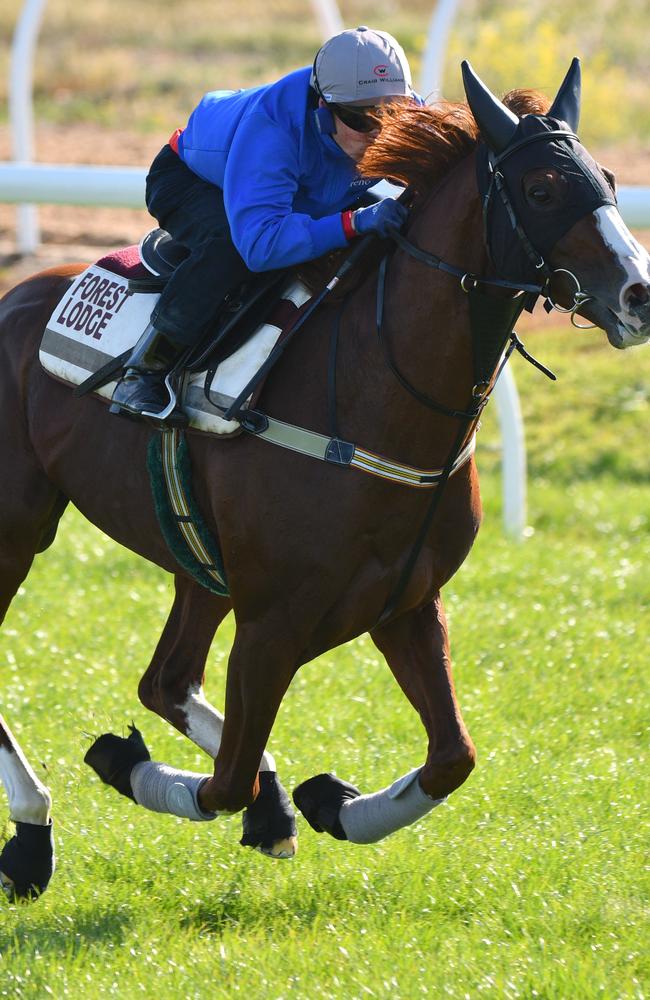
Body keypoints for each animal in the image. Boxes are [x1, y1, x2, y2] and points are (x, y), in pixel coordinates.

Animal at [1, 60, 648, 908]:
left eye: (607, 178)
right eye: (540, 189)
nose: (640, 294)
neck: (377, 395)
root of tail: (16, 293)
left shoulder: (405, 604)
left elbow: (453, 757)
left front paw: (327, 803)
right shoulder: (272, 624)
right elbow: (226, 781)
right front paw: (125, 763)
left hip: (198, 561)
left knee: (166, 681)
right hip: (17, 530)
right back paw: (31, 829)